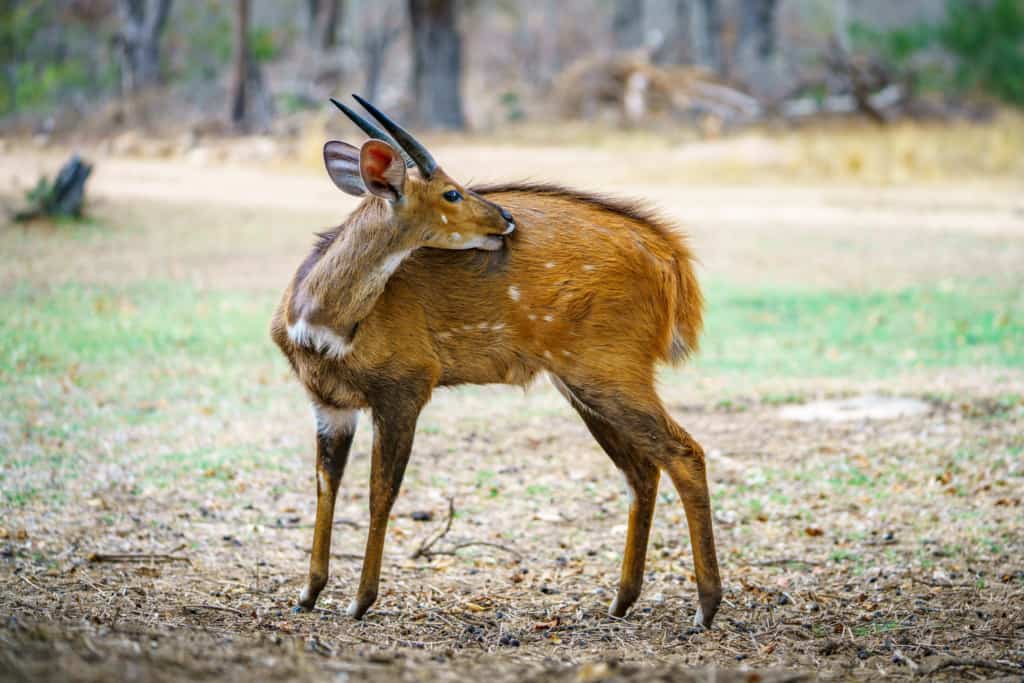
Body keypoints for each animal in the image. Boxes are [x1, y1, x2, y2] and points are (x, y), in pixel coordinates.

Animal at [272, 96, 720, 630]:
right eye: (451, 192)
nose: (505, 217)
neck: (325, 321)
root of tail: (669, 256)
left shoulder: (405, 390)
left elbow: (382, 491)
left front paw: (359, 601)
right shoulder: (329, 405)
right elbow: (326, 485)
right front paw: (307, 594)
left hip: (608, 374)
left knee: (684, 453)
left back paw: (705, 607)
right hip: (582, 387)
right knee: (643, 470)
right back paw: (621, 601)